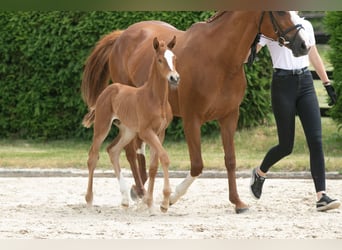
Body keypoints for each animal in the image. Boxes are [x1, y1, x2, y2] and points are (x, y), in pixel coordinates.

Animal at [81, 11, 308, 213]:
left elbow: (230, 160)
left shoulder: (229, 117)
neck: (219, 58)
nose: (303, 45)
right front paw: (171, 198)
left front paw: (237, 202)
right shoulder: (192, 119)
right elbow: (197, 165)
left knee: (134, 150)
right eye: (280, 12)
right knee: (129, 151)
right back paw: (138, 193)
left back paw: (139, 191)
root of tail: (122, 35)